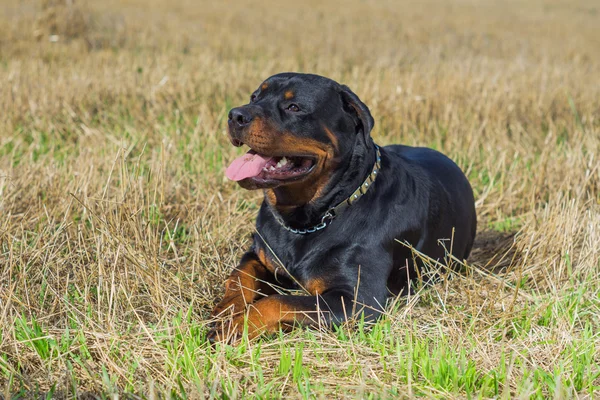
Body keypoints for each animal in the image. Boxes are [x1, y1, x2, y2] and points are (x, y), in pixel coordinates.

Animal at [209, 73, 476, 342]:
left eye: (293, 107)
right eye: (254, 97)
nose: (235, 115)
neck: (309, 219)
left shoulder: (358, 301)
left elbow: (278, 302)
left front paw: (233, 327)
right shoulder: (258, 254)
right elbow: (240, 276)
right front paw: (226, 311)